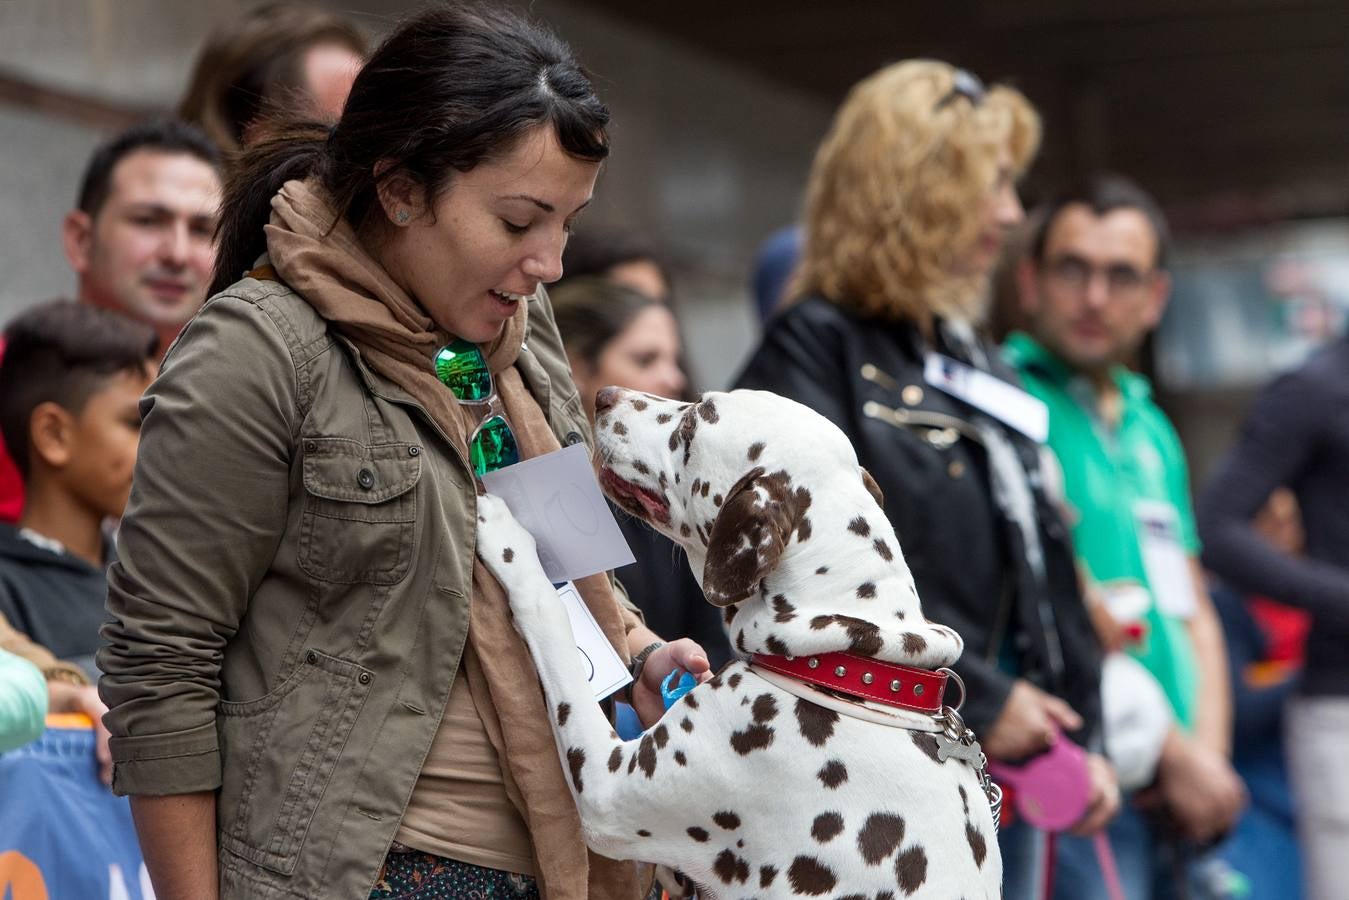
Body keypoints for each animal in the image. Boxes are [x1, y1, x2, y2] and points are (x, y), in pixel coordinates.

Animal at [474, 388, 1003, 900]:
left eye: (690, 426)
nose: (604, 396)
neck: (849, 664)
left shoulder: (605, 787)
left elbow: (553, 625)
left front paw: (511, 544)